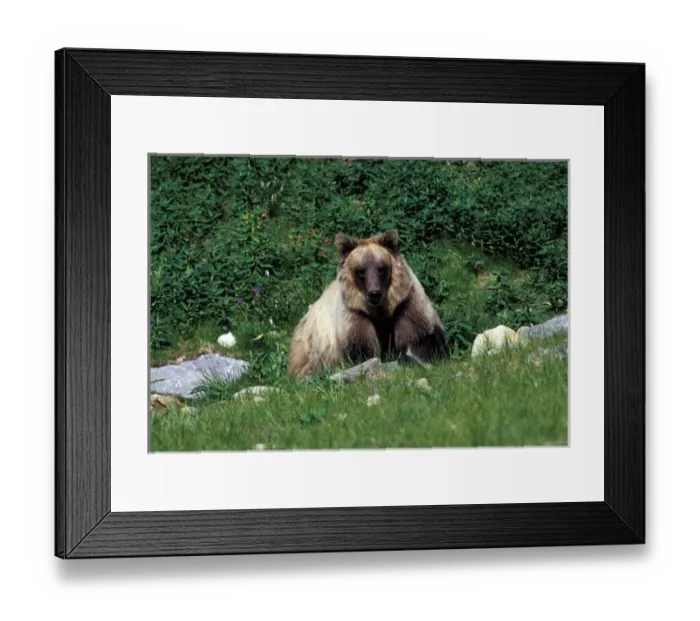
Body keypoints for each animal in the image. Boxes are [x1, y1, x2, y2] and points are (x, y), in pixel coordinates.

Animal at [287, 229, 449, 379]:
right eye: (361, 271)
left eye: (381, 269)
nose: (374, 293)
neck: (381, 312)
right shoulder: (355, 314)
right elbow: (362, 352)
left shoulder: (406, 304)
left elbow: (420, 339)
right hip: (310, 351)